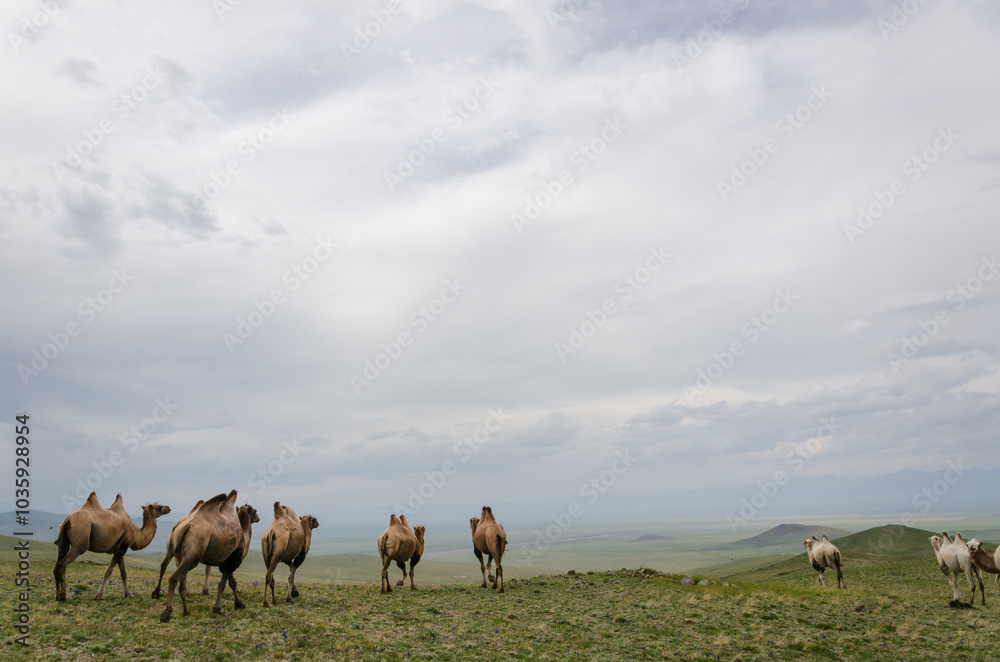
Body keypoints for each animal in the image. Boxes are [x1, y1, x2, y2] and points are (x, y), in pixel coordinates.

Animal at [155, 491, 259, 622]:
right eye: (255, 511)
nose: (258, 518)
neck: (244, 535)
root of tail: (184, 526)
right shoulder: (232, 562)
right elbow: (223, 585)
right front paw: (217, 609)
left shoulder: (225, 563)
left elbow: (232, 583)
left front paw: (239, 604)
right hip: (193, 554)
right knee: (174, 578)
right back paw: (166, 612)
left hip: (179, 556)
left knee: (181, 583)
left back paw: (186, 612)